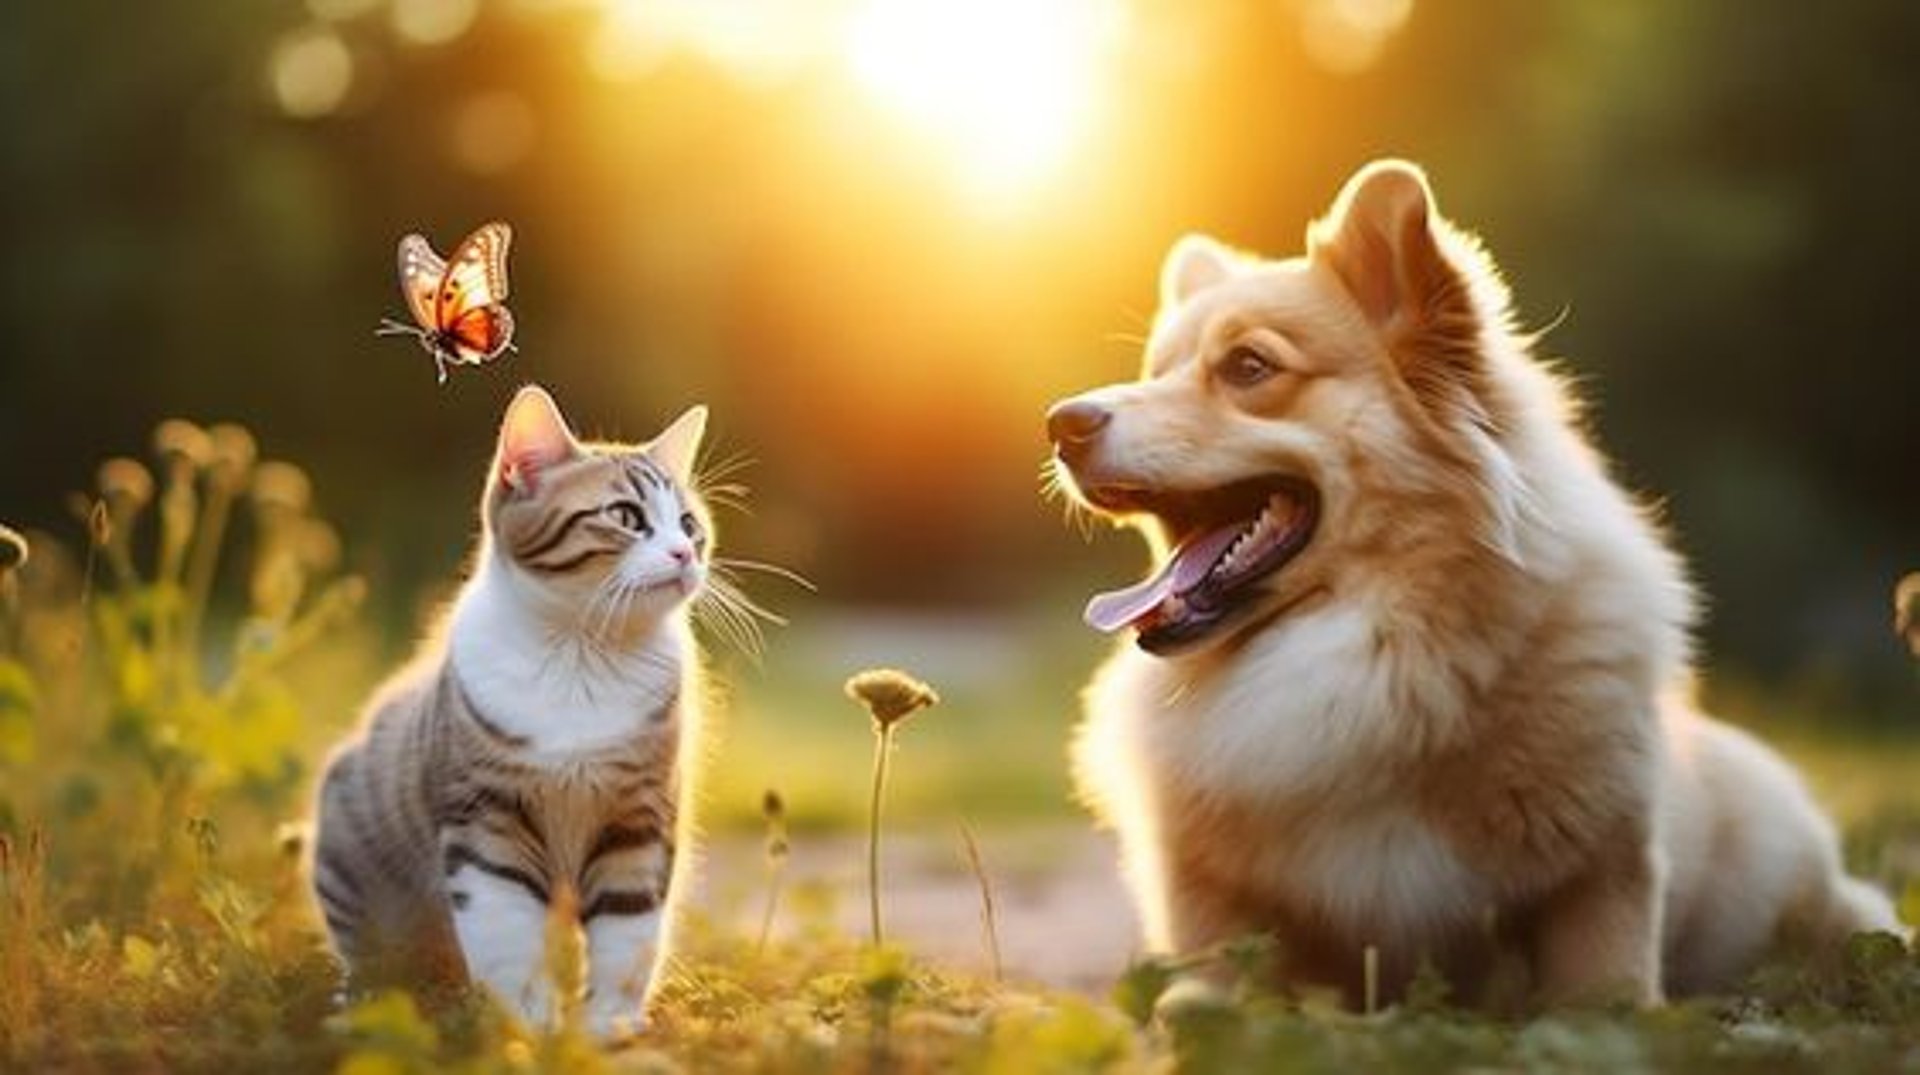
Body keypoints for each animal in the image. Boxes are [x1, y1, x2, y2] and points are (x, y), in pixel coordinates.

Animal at [314, 383, 721, 1036]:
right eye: (626, 517)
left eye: (688, 523)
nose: (686, 553)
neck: (582, 652)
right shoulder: (487, 817)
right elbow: (504, 931)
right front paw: (527, 1026)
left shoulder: (639, 817)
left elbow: (629, 932)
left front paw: (605, 1027)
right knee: (370, 958)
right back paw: (363, 1003)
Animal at [1052, 159, 1904, 1005]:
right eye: (1153, 372)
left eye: (1248, 367)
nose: (1063, 424)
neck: (1376, 652)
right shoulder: (1213, 905)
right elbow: (1208, 991)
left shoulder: (1602, 876)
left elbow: (1604, 998)